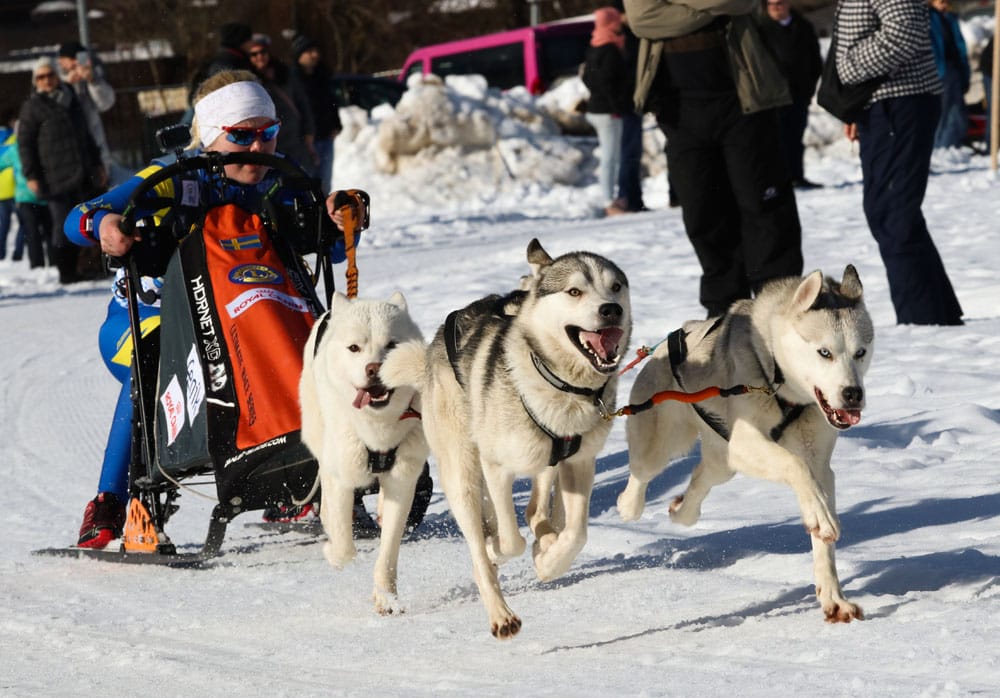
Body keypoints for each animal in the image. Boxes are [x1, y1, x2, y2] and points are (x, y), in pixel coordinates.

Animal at [298, 290, 428, 612]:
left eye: (391, 344)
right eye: (354, 348)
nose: (374, 369)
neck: (378, 431)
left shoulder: (402, 480)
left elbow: (389, 551)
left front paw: (386, 597)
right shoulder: (342, 477)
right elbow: (345, 546)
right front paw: (333, 552)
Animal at [382, 239, 632, 636]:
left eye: (616, 287)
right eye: (574, 291)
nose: (611, 309)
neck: (559, 384)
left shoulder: (579, 463)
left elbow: (576, 533)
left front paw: (548, 560)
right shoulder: (497, 467)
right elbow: (509, 540)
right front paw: (500, 549)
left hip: (545, 465)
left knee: (538, 510)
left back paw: (543, 538)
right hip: (463, 474)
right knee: (483, 541)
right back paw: (501, 611)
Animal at [620, 266, 872, 620]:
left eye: (860, 352)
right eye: (825, 352)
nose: (853, 394)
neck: (778, 376)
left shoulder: (819, 465)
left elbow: (822, 537)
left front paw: (833, 598)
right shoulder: (745, 443)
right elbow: (795, 466)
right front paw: (820, 514)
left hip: (723, 461)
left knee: (701, 477)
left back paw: (683, 509)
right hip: (661, 446)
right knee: (641, 476)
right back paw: (628, 506)